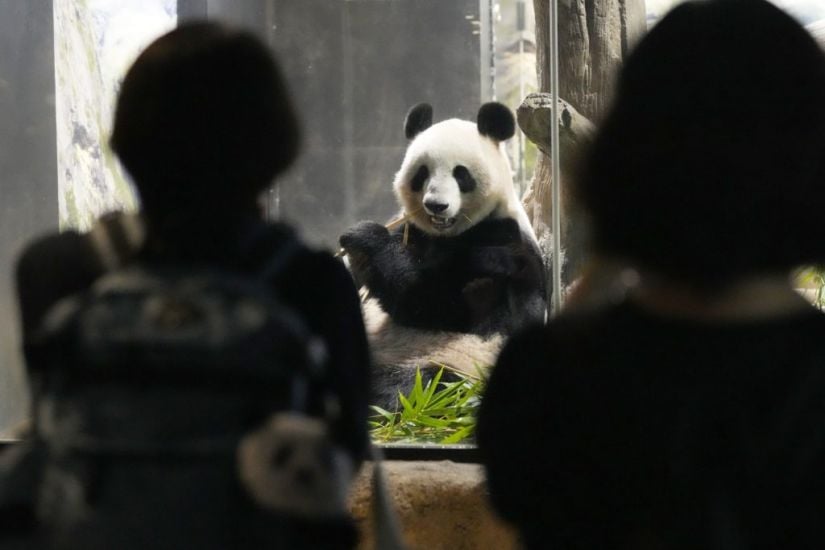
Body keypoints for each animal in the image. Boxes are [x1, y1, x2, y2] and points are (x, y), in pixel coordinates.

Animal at [338, 102, 544, 410]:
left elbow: (433, 303)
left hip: (459, 363)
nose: (436, 205)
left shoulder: (502, 243)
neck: (448, 234)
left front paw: (365, 239)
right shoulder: (411, 229)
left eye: (461, 174)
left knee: (416, 387)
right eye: (422, 173)